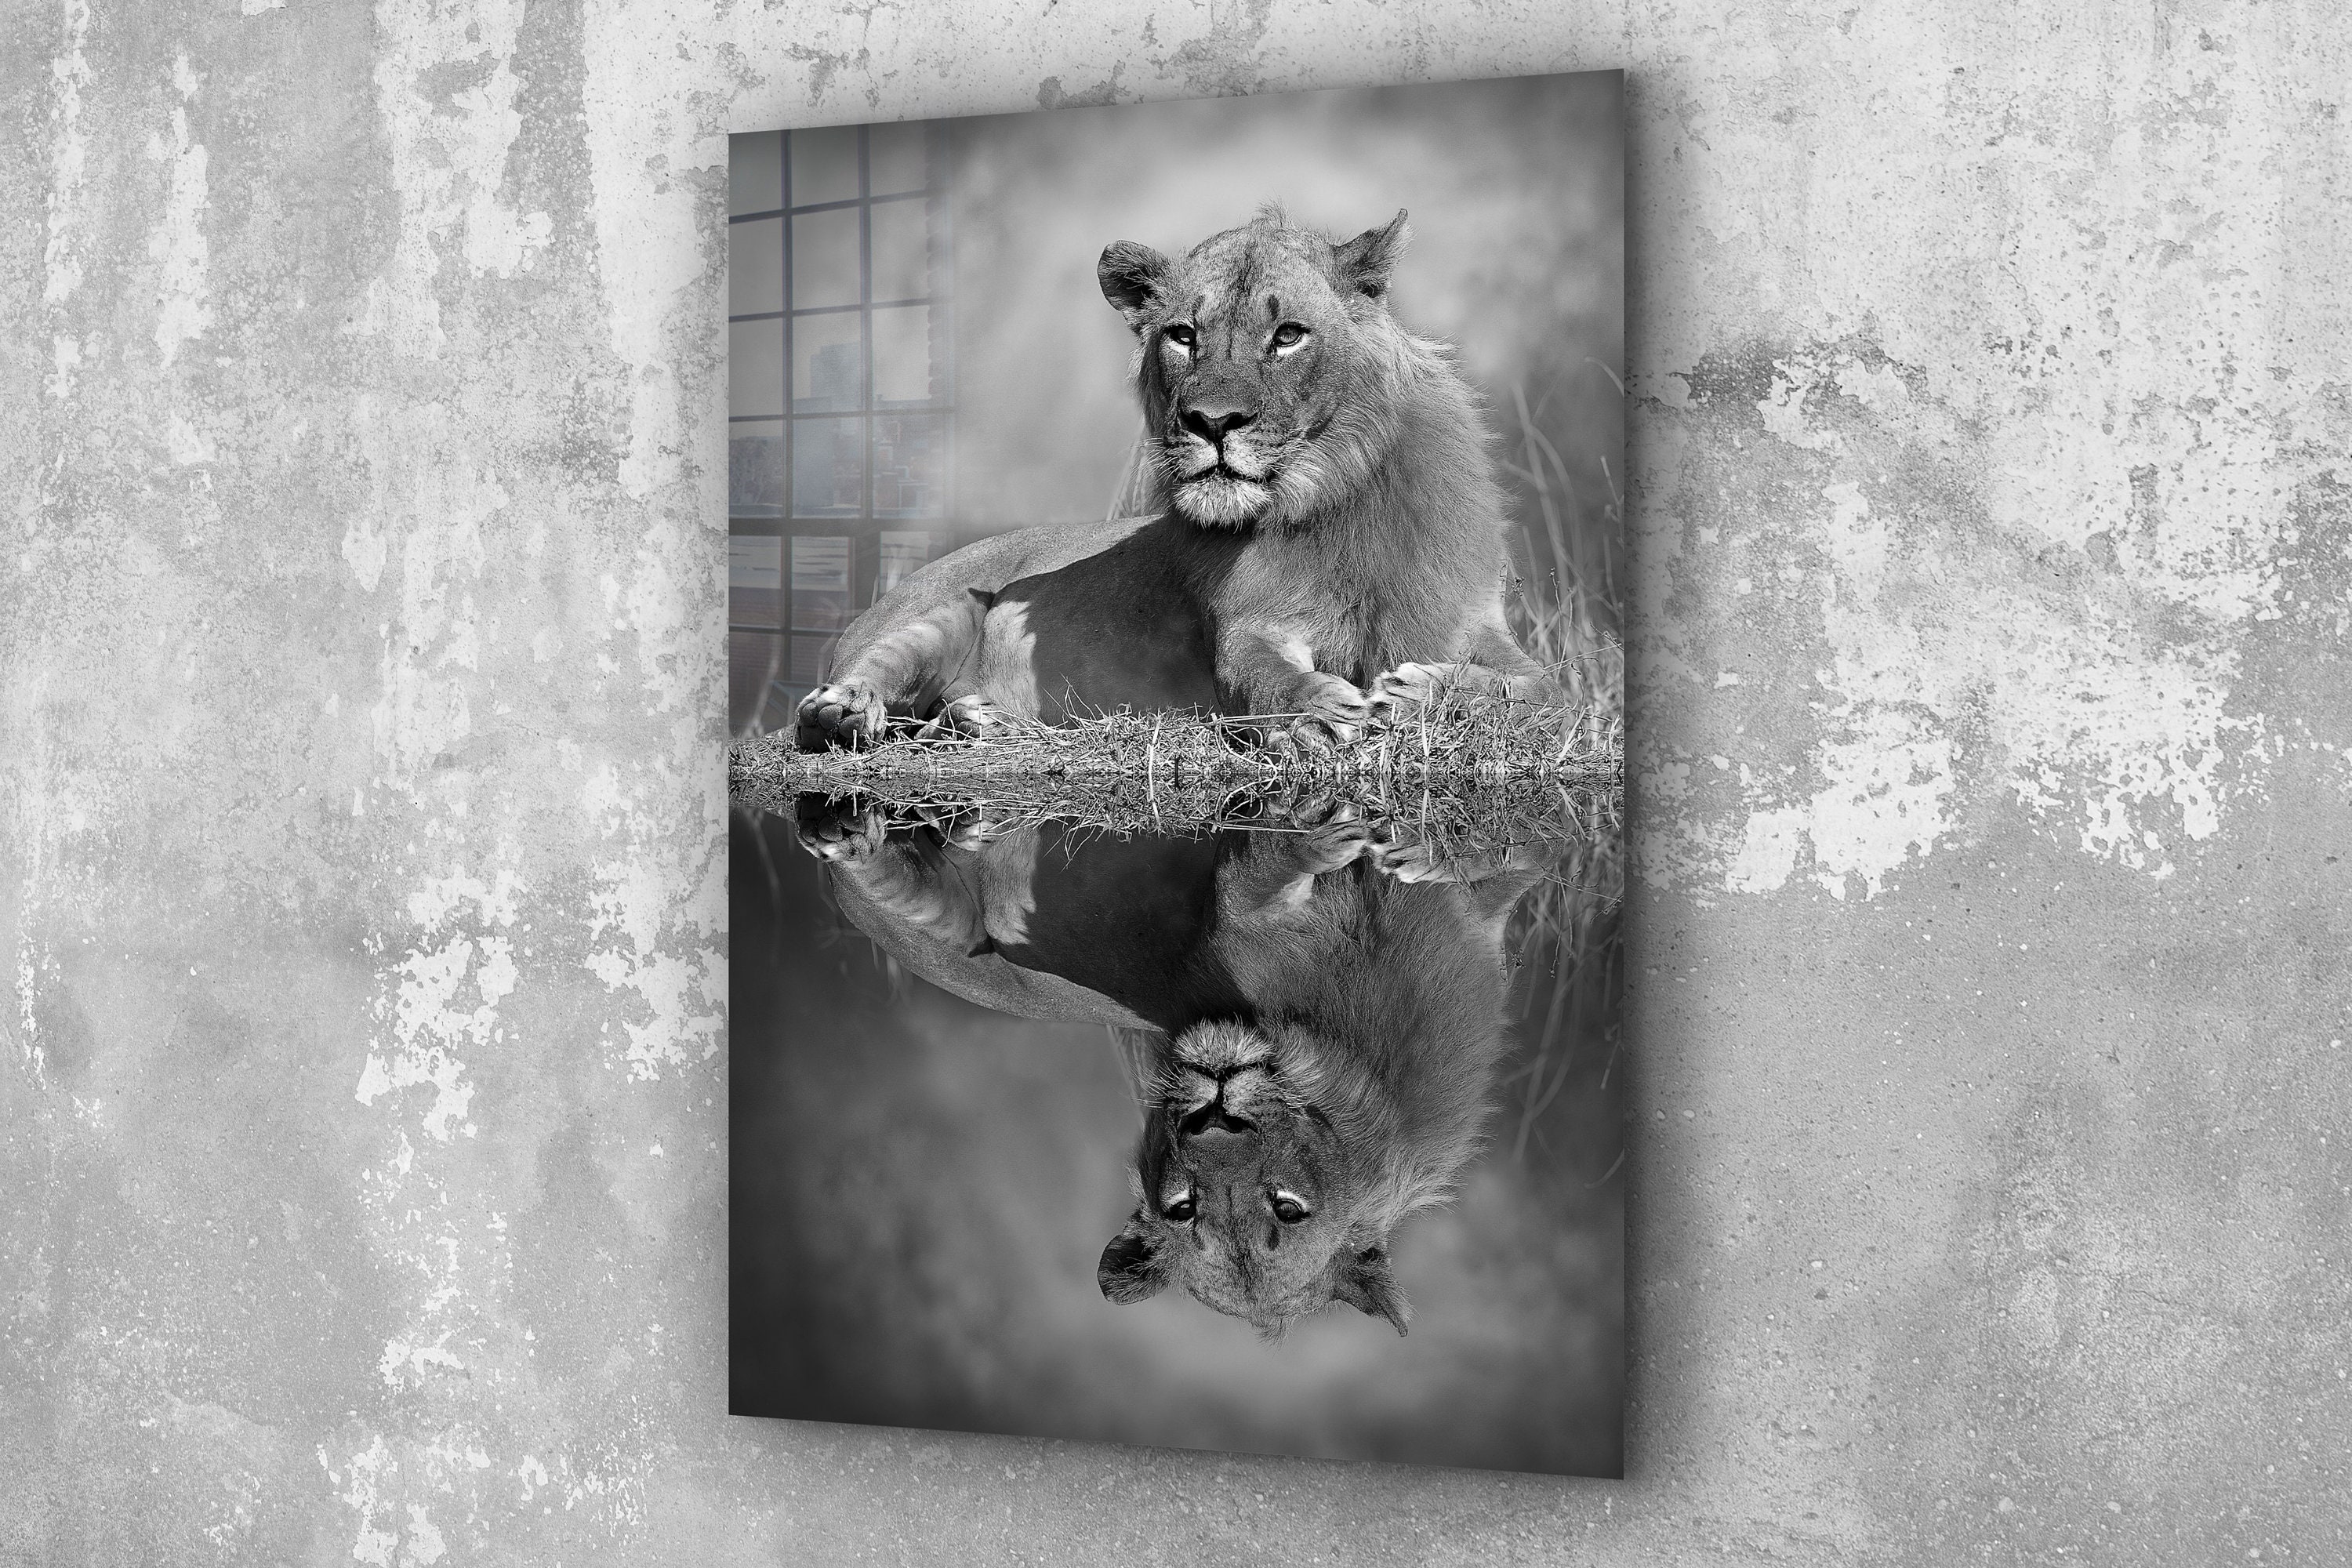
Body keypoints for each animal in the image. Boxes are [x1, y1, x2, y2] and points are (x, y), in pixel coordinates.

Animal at [795, 207, 1558, 752]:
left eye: (1288, 335)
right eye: (1184, 335)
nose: (1211, 422)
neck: (1332, 495)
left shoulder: (1476, 623)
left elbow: (1537, 690)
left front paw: (1414, 692)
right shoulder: (1248, 628)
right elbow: (1262, 675)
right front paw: (1314, 713)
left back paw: (985, 720)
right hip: (944, 609)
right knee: (858, 690)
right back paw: (848, 710)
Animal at [796, 796, 1546, 1335]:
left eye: (1288, 1209)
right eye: (1184, 1209)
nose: (1213, 1115)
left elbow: (1509, 856)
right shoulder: (1239, 925)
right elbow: (1254, 875)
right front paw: (1326, 830)